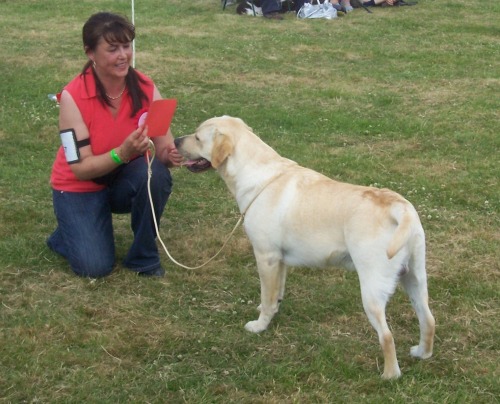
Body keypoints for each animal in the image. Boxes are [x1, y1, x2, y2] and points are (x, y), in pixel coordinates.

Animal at [175, 115, 434, 378]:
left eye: (197, 137)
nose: (175, 140)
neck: (257, 175)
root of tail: (400, 207)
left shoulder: (265, 256)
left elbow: (266, 296)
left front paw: (259, 325)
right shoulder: (279, 260)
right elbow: (275, 293)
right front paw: (272, 309)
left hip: (372, 290)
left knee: (387, 336)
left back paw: (390, 375)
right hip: (415, 279)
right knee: (428, 320)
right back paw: (422, 353)